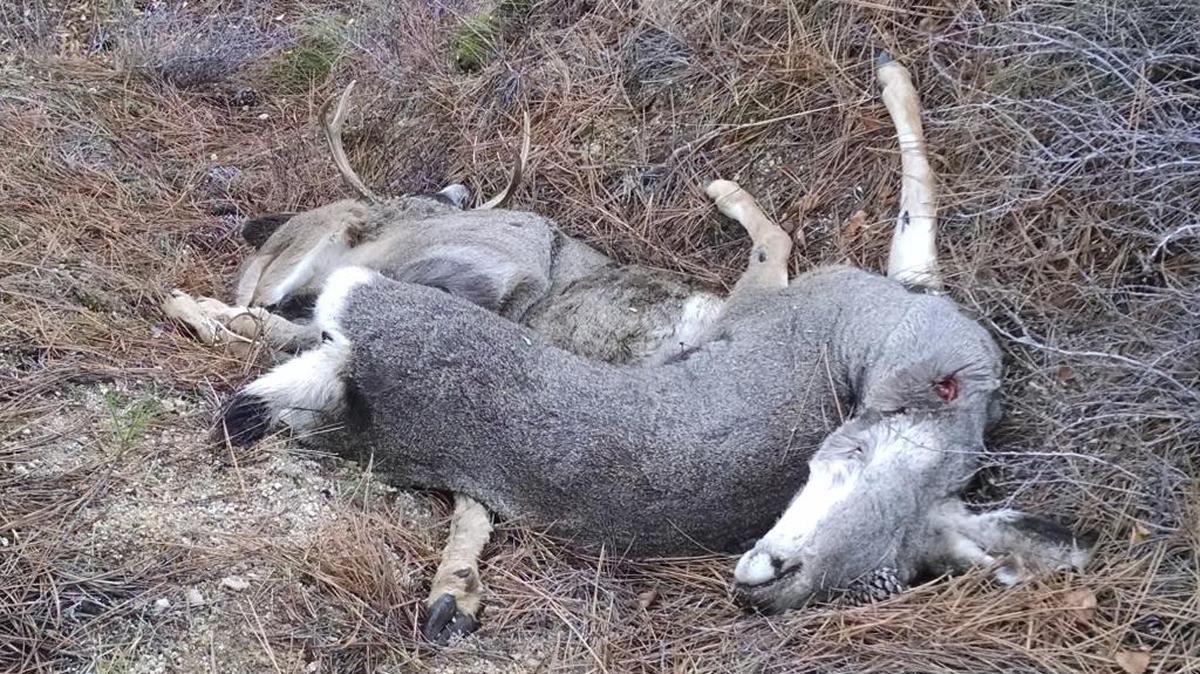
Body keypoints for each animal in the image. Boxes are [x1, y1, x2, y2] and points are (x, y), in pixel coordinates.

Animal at [196, 54, 1095, 642]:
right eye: (860, 462)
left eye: (887, 573)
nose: (771, 584)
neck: (868, 348)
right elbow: (884, 218)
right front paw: (885, 81)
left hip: (369, 302)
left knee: (277, 339)